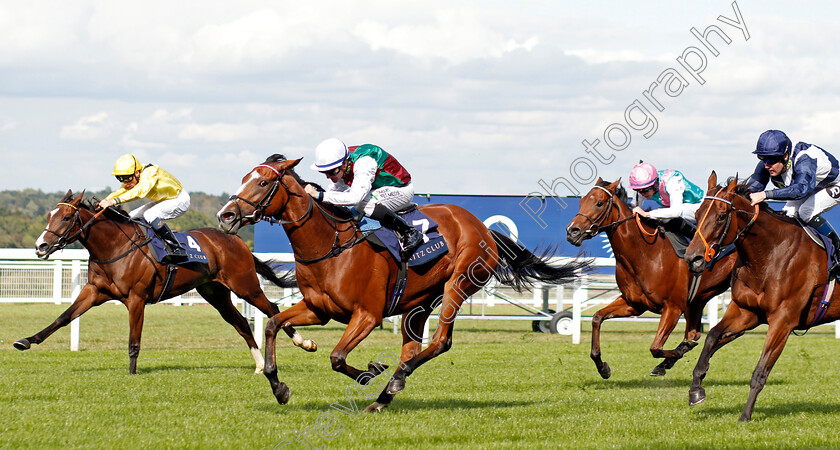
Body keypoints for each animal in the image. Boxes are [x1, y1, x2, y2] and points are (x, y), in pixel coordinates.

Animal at [16, 188, 298, 374]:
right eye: (49, 215)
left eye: (65, 218)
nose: (40, 246)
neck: (115, 247)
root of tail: (236, 240)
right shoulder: (95, 291)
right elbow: (64, 317)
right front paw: (26, 341)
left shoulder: (136, 298)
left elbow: (134, 340)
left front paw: (132, 373)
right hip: (215, 292)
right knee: (240, 323)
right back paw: (259, 365)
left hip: (245, 285)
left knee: (272, 309)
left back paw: (300, 341)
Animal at [215, 155, 592, 412]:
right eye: (245, 177)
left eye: (263, 183)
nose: (226, 215)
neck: (331, 247)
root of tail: (482, 227)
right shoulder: (317, 309)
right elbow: (273, 324)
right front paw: (278, 386)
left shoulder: (367, 315)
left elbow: (337, 357)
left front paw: (369, 372)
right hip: (419, 303)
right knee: (412, 347)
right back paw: (384, 396)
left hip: (457, 284)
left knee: (440, 342)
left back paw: (395, 379)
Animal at [564, 179, 736, 380]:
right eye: (581, 201)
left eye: (599, 203)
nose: (572, 231)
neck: (645, 253)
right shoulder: (634, 304)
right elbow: (597, 317)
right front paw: (602, 367)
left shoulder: (673, 307)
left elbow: (656, 348)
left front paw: (671, 357)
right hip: (697, 301)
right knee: (694, 333)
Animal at [684, 172, 840, 422]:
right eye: (697, 214)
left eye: (721, 216)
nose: (693, 258)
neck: (770, 254)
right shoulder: (746, 311)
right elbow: (712, 338)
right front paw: (696, 389)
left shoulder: (783, 321)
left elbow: (760, 371)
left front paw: (745, 416)